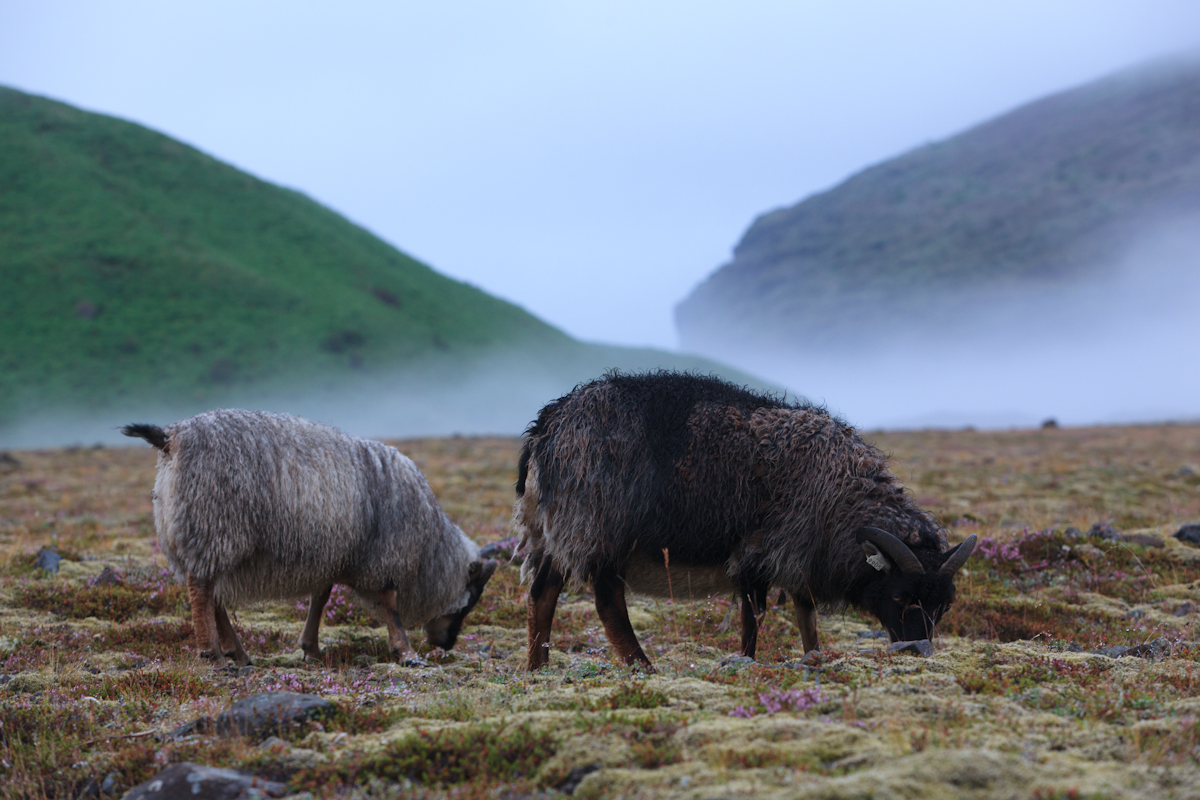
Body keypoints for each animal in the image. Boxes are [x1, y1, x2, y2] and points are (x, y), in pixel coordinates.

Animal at [123, 410, 496, 666]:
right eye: (470, 600)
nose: (447, 645)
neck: (428, 552)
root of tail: (172, 435)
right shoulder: (384, 556)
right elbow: (390, 606)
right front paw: (405, 652)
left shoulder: (333, 554)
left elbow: (321, 597)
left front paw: (311, 648)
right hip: (214, 527)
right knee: (202, 593)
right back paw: (213, 653)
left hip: (198, 534)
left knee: (213, 596)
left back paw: (238, 654)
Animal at [513, 371, 974, 671]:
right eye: (900, 596)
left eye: (944, 605)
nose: (918, 654)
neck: (840, 491)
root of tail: (548, 425)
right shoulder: (762, 551)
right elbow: (755, 618)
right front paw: (746, 664)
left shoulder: (798, 557)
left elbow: (806, 616)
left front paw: (814, 657)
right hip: (599, 527)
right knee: (607, 602)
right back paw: (642, 667)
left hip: (557, 529)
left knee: (543, 591)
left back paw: (538, 669)